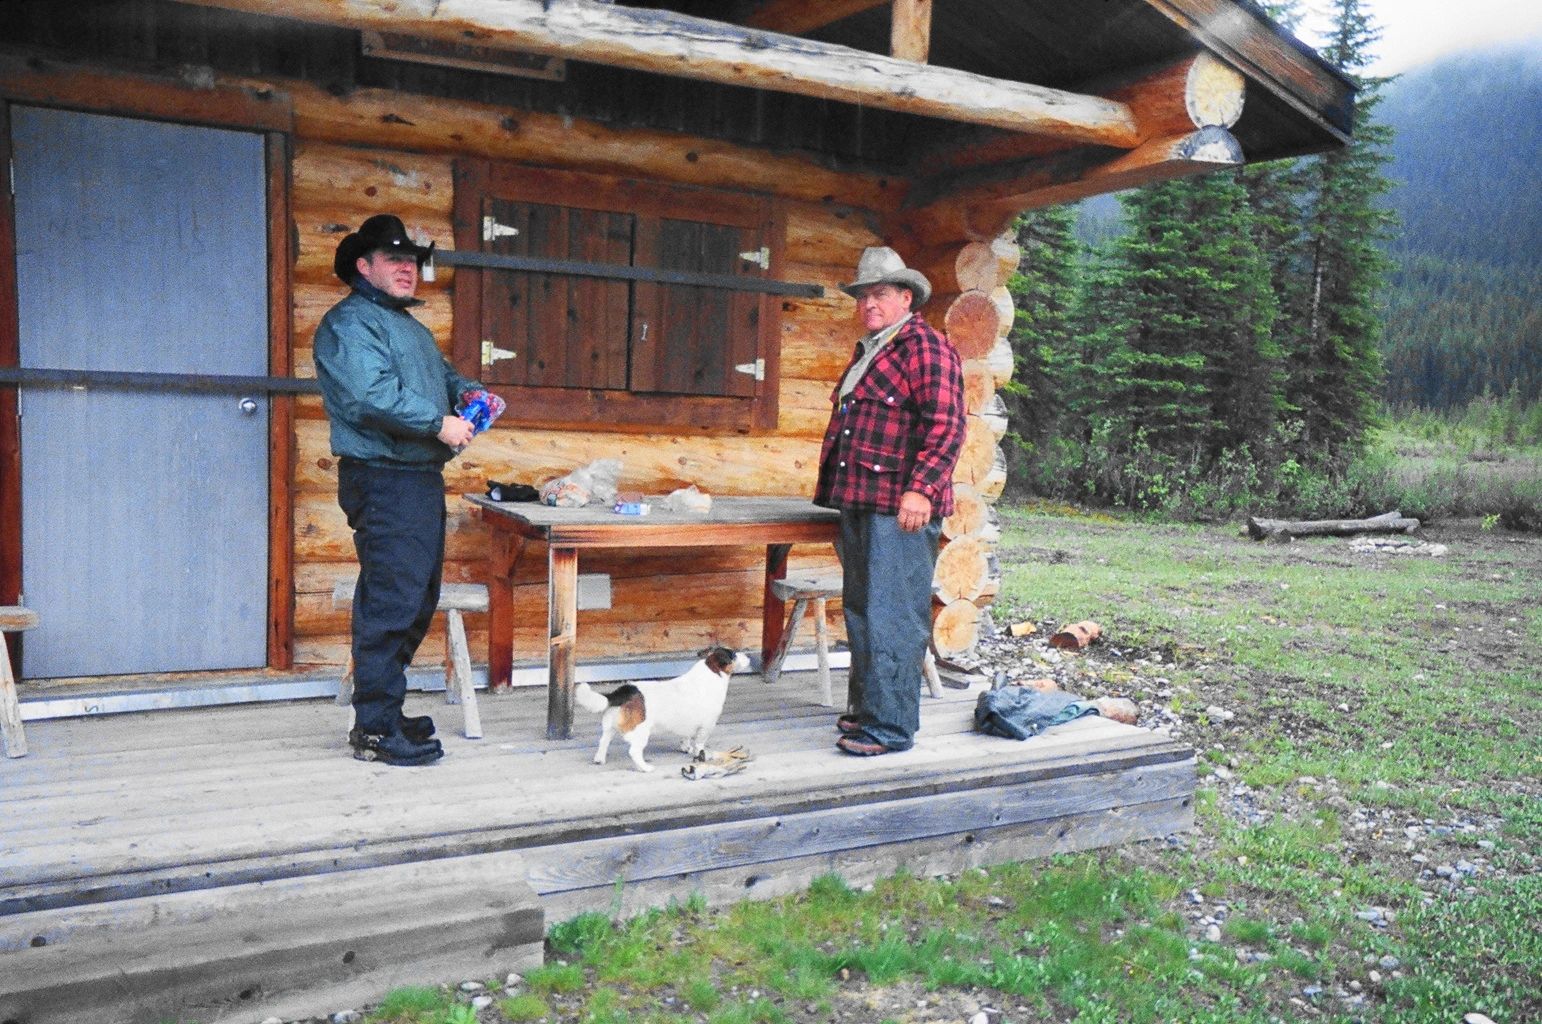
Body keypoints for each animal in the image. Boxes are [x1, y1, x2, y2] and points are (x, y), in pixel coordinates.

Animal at [576, 644, 749, 771]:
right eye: (733, 654)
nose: (747, 656)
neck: (711, 673)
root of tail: (626, 691)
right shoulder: (706, 727)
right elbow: (700, 745)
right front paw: (700, 754)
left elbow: (686, 738)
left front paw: (686, 748)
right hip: (640, 732)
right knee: (634, 751)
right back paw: (645, 768)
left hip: (609, 728)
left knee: (603, 741)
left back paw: (599, 759)